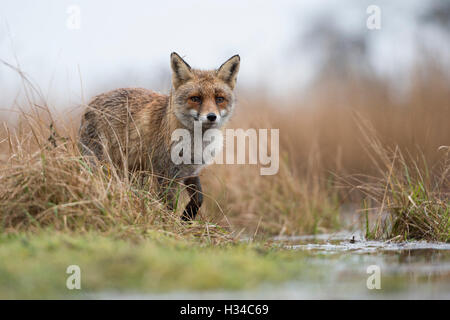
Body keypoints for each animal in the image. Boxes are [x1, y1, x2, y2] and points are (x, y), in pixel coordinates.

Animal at [78, 52, 239, 221]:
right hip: (99, 163)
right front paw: (173, 223)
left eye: (219, 99)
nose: (212, 116)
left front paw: (187, 217)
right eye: (195, 98)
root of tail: (91, 103)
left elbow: (199, 198)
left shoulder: (190, 171)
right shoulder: (166, 174)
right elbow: (169, 207)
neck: (195, 144)